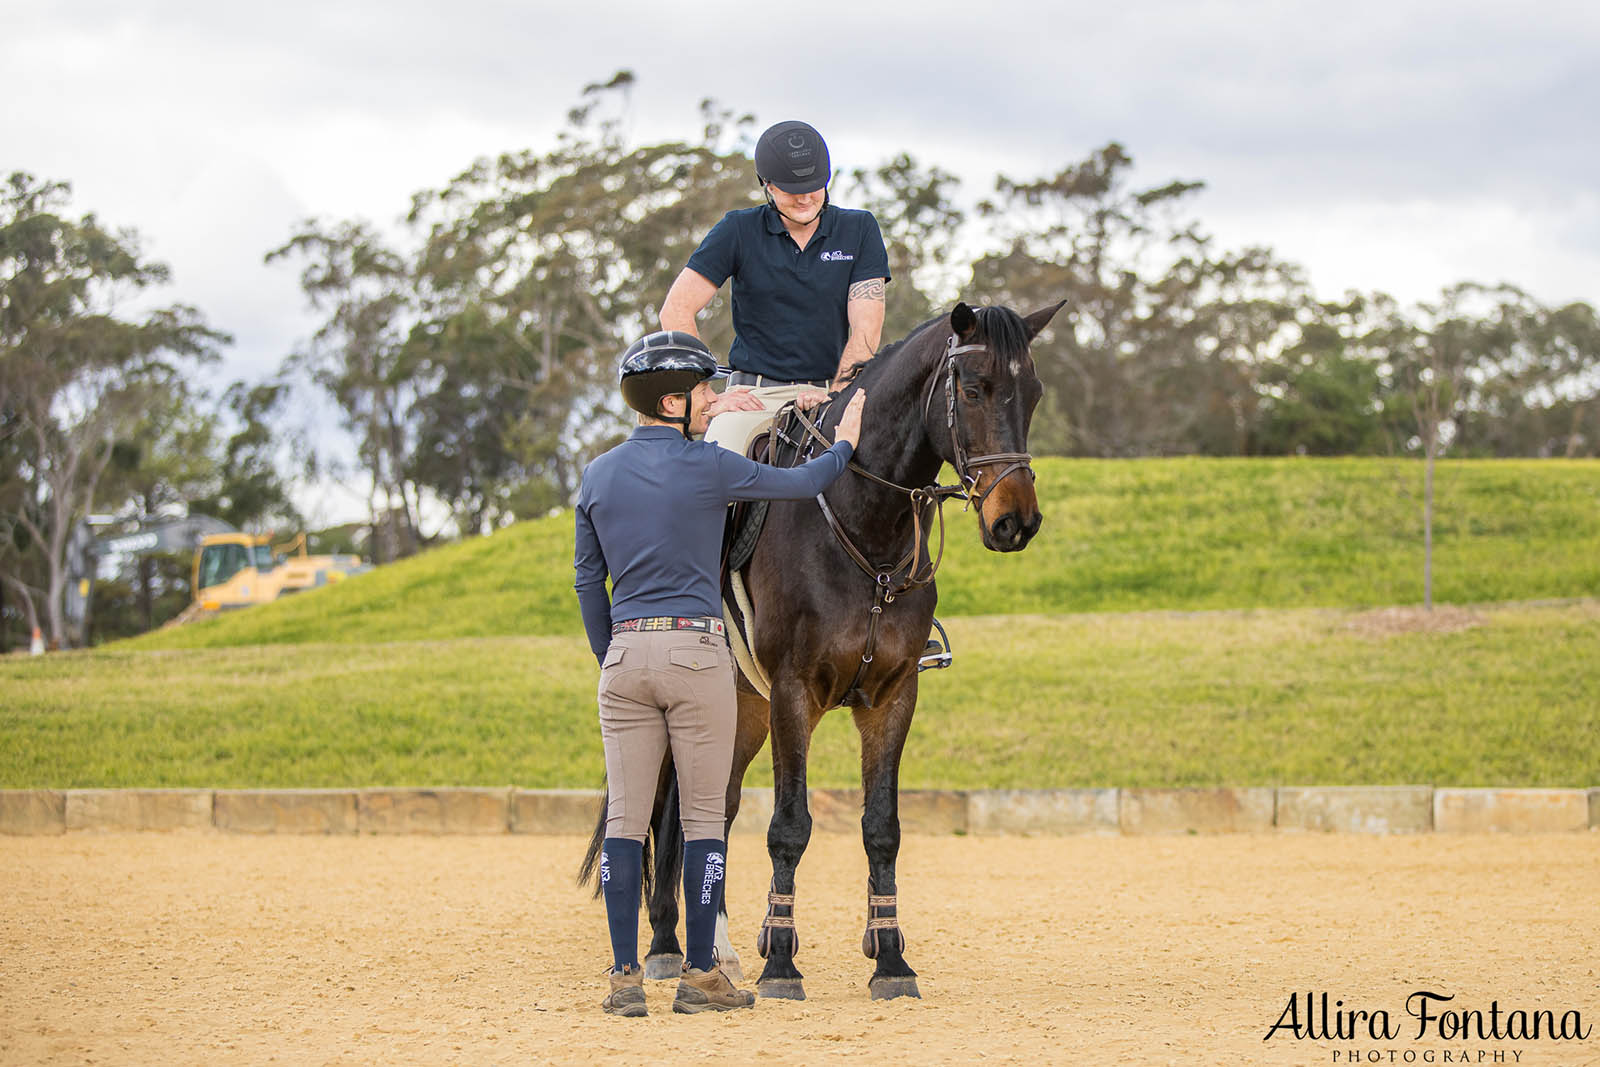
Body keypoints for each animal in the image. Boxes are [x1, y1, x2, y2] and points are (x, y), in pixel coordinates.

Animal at [579, 299, 1062, 1004]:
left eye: (1034, 393)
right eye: (973, 390)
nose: (1016, 522)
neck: (865, 519)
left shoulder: (893, 696)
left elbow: (881, 828)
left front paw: (891, 959)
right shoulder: (793, 693)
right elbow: (789, 826)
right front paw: (781, 961)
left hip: (742, 711)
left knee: (714, 809)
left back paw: (715, 952)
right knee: (674, 811)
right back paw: (669, 948)